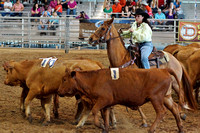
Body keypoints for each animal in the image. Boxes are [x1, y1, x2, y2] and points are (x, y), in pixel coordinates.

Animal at [57, 68, 196, 132]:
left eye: (64, 79)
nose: (58, 91)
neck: (93, 80)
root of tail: (163, 69)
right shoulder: (107, 104)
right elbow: (105, 114)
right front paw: (105, 128)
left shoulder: (103, 99)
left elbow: (95, 111)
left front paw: (100, 125)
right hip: (166, 97)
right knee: (175, 109)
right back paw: (180, 128)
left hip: (156, 98)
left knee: (161, 112)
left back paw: (151, 129)